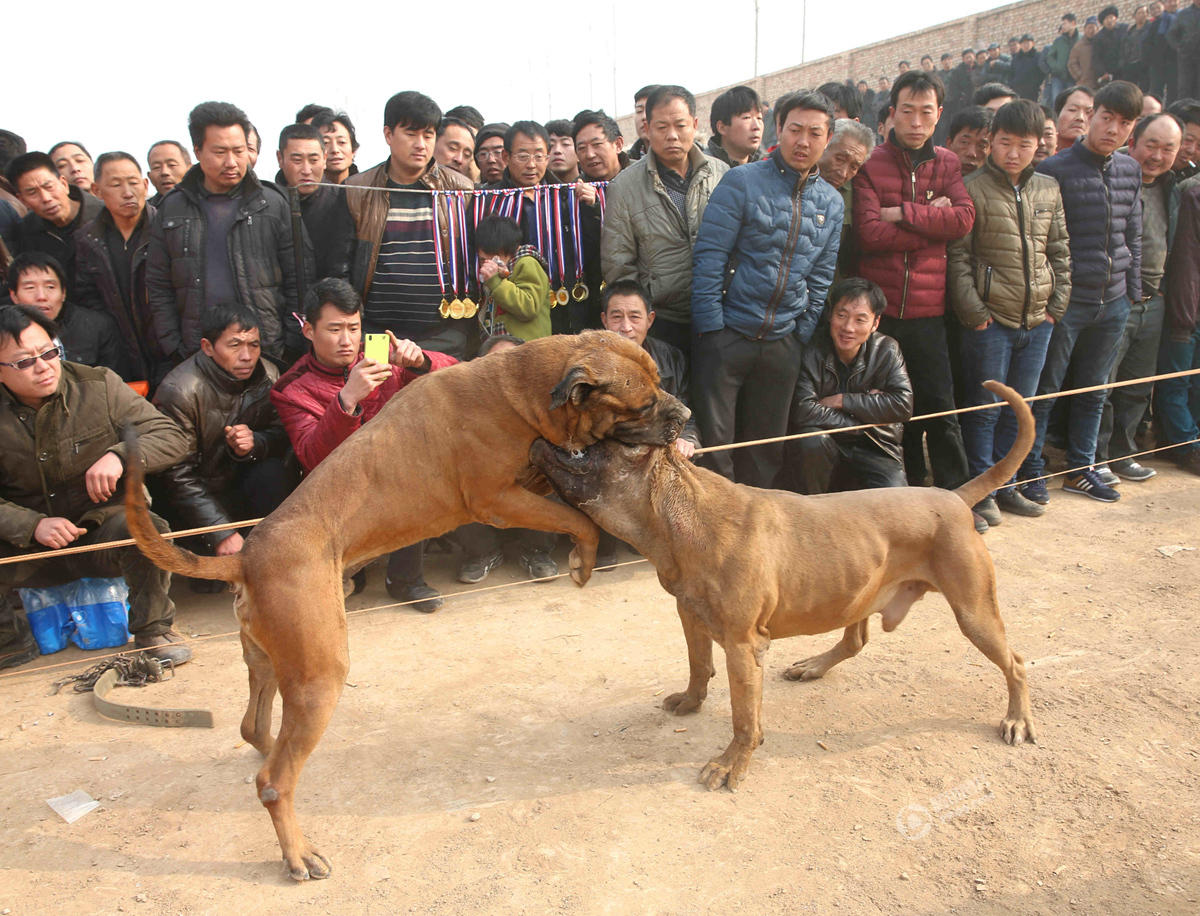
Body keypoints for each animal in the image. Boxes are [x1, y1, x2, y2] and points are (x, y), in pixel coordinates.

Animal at [123, 328, 691, 883]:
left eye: (660, 382)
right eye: (642, 405)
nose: (684, 415)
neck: (520, 390)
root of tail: (245, 559)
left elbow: (571, 495)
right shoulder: (498, 500)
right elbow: (580, 521)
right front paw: (582, 561)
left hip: (268, 660)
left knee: (256, 730)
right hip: (320, 673)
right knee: (273, 781)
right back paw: (299, 854)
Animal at [530, 381, 1036, 797]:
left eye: (593, 437)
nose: (539, 425)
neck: (680, 512)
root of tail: (953, 497)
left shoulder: (743, 645)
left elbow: (743, 718)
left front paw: (731, 764)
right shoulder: (690, 616)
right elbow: (697, 666)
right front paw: (692, 702)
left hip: (974, 612)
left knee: (1015, 663)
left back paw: (1018, 719)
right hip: (857, 594)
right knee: (855, 640)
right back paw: (813, 666)